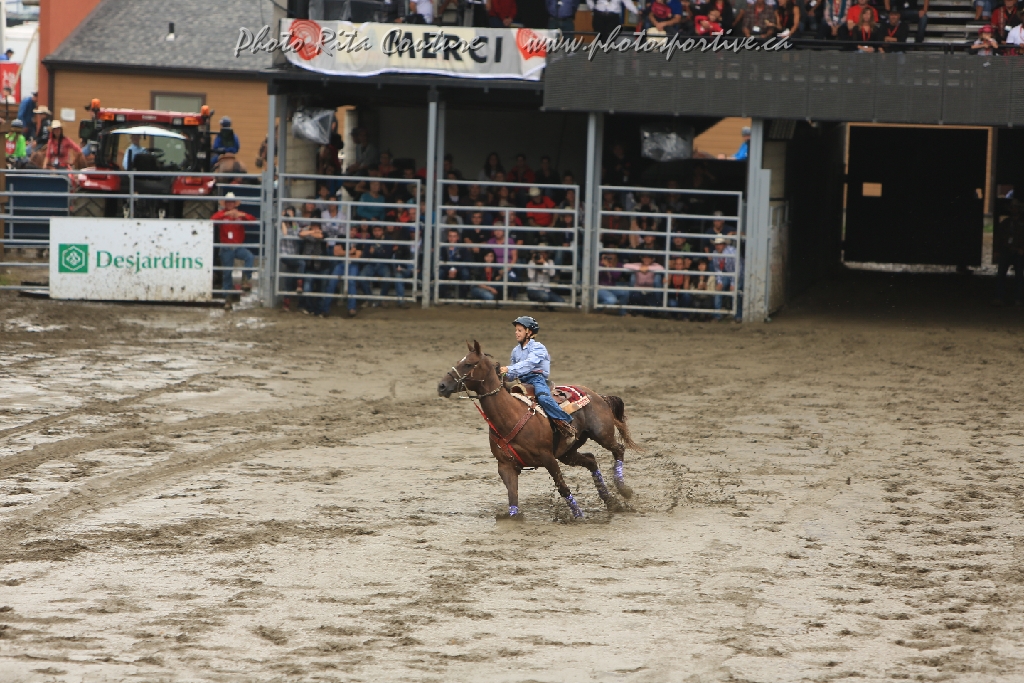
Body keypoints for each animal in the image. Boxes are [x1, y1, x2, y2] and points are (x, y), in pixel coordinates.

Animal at [437, 340, 640, 519]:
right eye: (458, 361)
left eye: (468, 364)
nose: (441, 386)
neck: (510, 415)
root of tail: (598, 395)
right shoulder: (505, 466)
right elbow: (513, 496)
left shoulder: (548, 458)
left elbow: (563, 488)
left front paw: (579, 516)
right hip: (567, 453)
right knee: (591, 460)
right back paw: (611, 502)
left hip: (601, 435)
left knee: (618, 449)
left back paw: (623, 489)